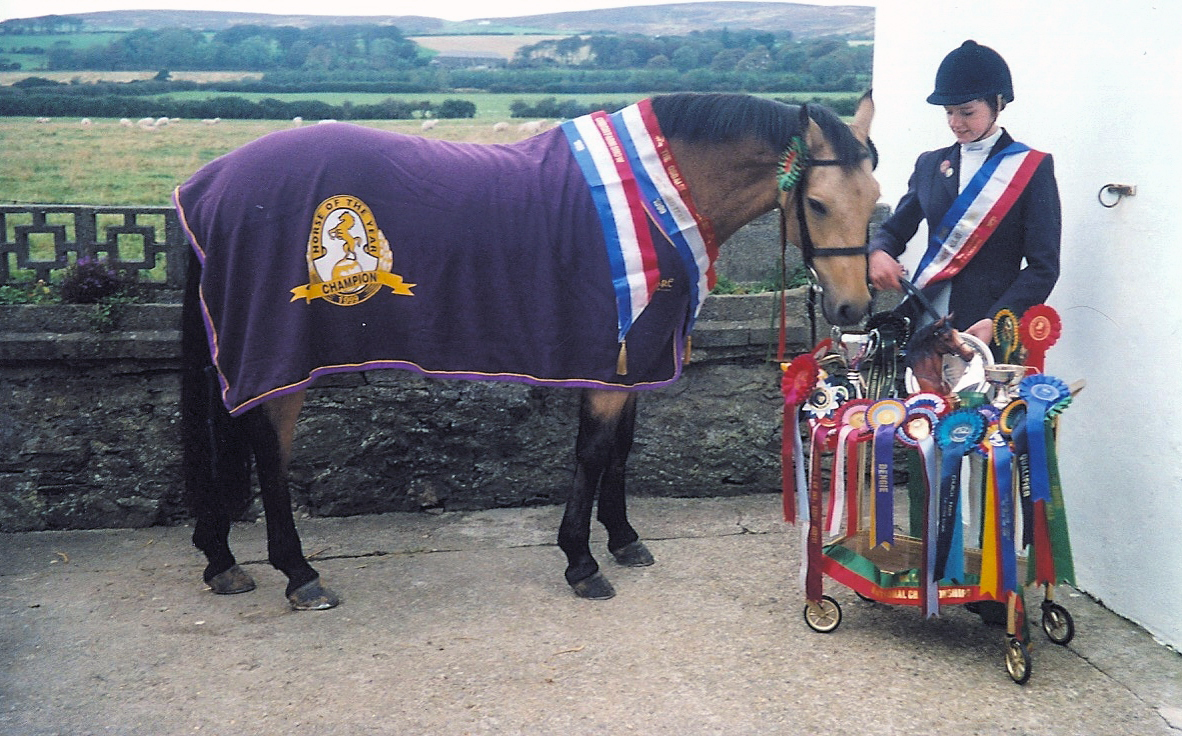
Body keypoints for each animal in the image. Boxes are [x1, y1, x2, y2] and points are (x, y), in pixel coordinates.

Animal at [172, 92, 879, 609]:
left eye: (874, 198)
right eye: (818, 203)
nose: (853, 308)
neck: (659, 194)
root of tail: (207, 185)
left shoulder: (634, 356)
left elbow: (621, 449)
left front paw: (623, 539)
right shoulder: (613, 356)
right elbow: (593, 452)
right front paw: (582, 562)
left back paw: (221, 559)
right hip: (281, 362)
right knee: (269, 454)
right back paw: (299, 573)